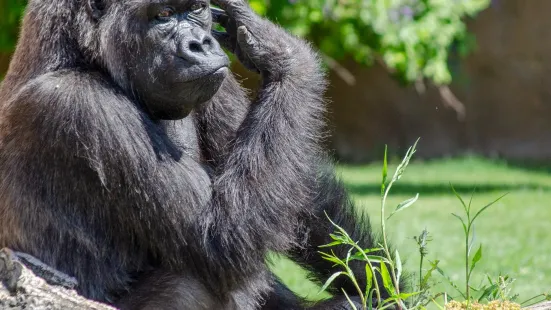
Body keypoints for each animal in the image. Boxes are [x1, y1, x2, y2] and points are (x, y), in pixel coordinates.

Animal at [0, 0, 402, 308]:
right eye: (162, 14)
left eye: (195, 9)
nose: (200, 43)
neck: (77, 53)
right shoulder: (77, 105)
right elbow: (217, 239)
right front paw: (287, 54)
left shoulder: (217, 81)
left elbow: (301, 196)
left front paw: (383, 286)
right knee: (187, 283)